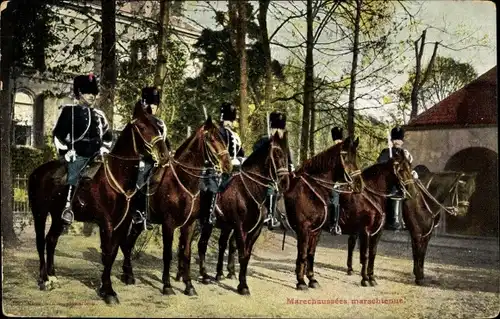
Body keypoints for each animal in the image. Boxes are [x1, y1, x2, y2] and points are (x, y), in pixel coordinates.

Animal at [29, 104, 170, 304]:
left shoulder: (122, 224)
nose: (164, 155)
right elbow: (107, 254)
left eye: (158, 128)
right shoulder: (106, 224)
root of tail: (37, 172)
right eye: (142, 127)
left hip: (58, 217)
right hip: (40, 213)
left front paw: (106, 287)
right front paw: (108, 291)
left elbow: (112, 253)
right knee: (41, 241)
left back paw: (53, 276)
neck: (118, 177)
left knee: (51, 240)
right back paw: (43, 279)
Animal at [118, 117, 233, 298]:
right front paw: (167, 285)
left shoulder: (189, 225)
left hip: (139, 224)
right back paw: (127, 274)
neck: (183, 182)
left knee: (128, 243)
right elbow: (167, 254)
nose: (228, 165)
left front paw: (189, 285)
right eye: (212, 139)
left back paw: (128, 274)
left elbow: (186, 254)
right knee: (126, 242)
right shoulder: (168, 224)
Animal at [192, 131, 292, 296]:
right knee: (201, 244)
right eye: (277, 154)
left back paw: (216, 274)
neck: (249, 190)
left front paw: (240, 281)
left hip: (222, 226)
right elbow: (242, 254)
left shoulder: (255, 230)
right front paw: (242, 285)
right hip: (206, 223)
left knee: (218, 244)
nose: (285, 182)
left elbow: (246, 255)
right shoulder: (240, 228)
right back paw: (203, 275)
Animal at [284, 136, 366, 292]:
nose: (359, 185)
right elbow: (303, 254)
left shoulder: (316, 231)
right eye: (345, 156)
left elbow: (310, 253)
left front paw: (312, 279)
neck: (312, 191)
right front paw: (301, 282)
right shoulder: (304, 229)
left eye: (357, 156)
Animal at [346, 170, 478, 284]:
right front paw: (418, 277)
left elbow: (421, 253)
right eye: (461, 189)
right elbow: (417, 253)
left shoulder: (426, 234)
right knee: (352, 242)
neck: (423, 200)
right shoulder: (417, 233)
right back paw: (350, 269)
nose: (462, 212)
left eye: (472, 191)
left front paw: (420, 274)